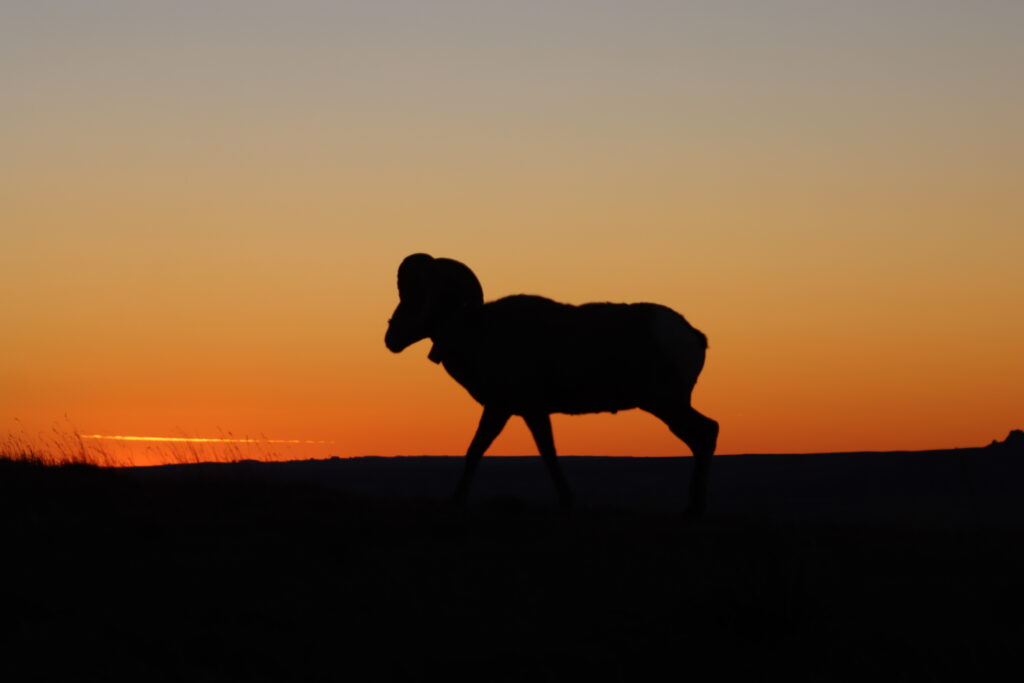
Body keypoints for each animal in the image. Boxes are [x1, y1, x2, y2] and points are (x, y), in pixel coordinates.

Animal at [384, 253, 719, 516]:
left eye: (417, 297)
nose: (391, 338)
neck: (481, 334)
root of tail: (693, 336)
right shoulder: (522, 412)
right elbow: (535, 452)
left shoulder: (506, 409)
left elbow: (483, 450)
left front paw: (457, 501)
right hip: (668, 405)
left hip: (667, 404)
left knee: (706, 433)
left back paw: (693, 509)